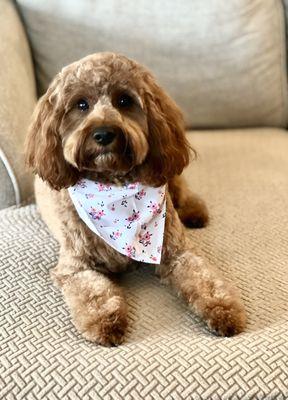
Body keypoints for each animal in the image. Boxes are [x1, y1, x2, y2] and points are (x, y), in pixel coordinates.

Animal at [25, 52, 245, 344]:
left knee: (180, 186)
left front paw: (224, 308)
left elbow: (205, 279)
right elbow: (94, 294)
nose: (104, 133)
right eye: (81, 104)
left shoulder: (177, 252)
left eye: (124, 101)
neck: (115, 191)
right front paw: (105, 321)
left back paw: (194, 211)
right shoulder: (75, 267)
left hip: (169, 178)